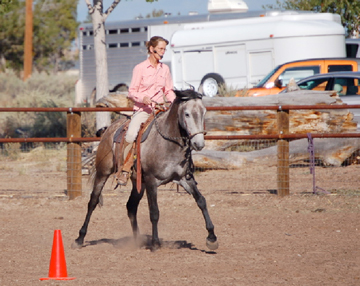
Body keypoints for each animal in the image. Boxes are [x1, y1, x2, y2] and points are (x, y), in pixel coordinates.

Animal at [73, 89, 218, 250]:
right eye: (186, 114)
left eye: (204, 111)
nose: (199, 144)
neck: (167, 143)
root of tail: (108, 129)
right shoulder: (151, 181)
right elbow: (154, 211)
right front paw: (155, 243)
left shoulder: (184, 179)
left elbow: (201, 201)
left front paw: (212, 238)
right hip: (103, 172)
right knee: (93, 201)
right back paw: (80, 238)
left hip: (138, 183)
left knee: (131, 206)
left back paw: (138, 240)